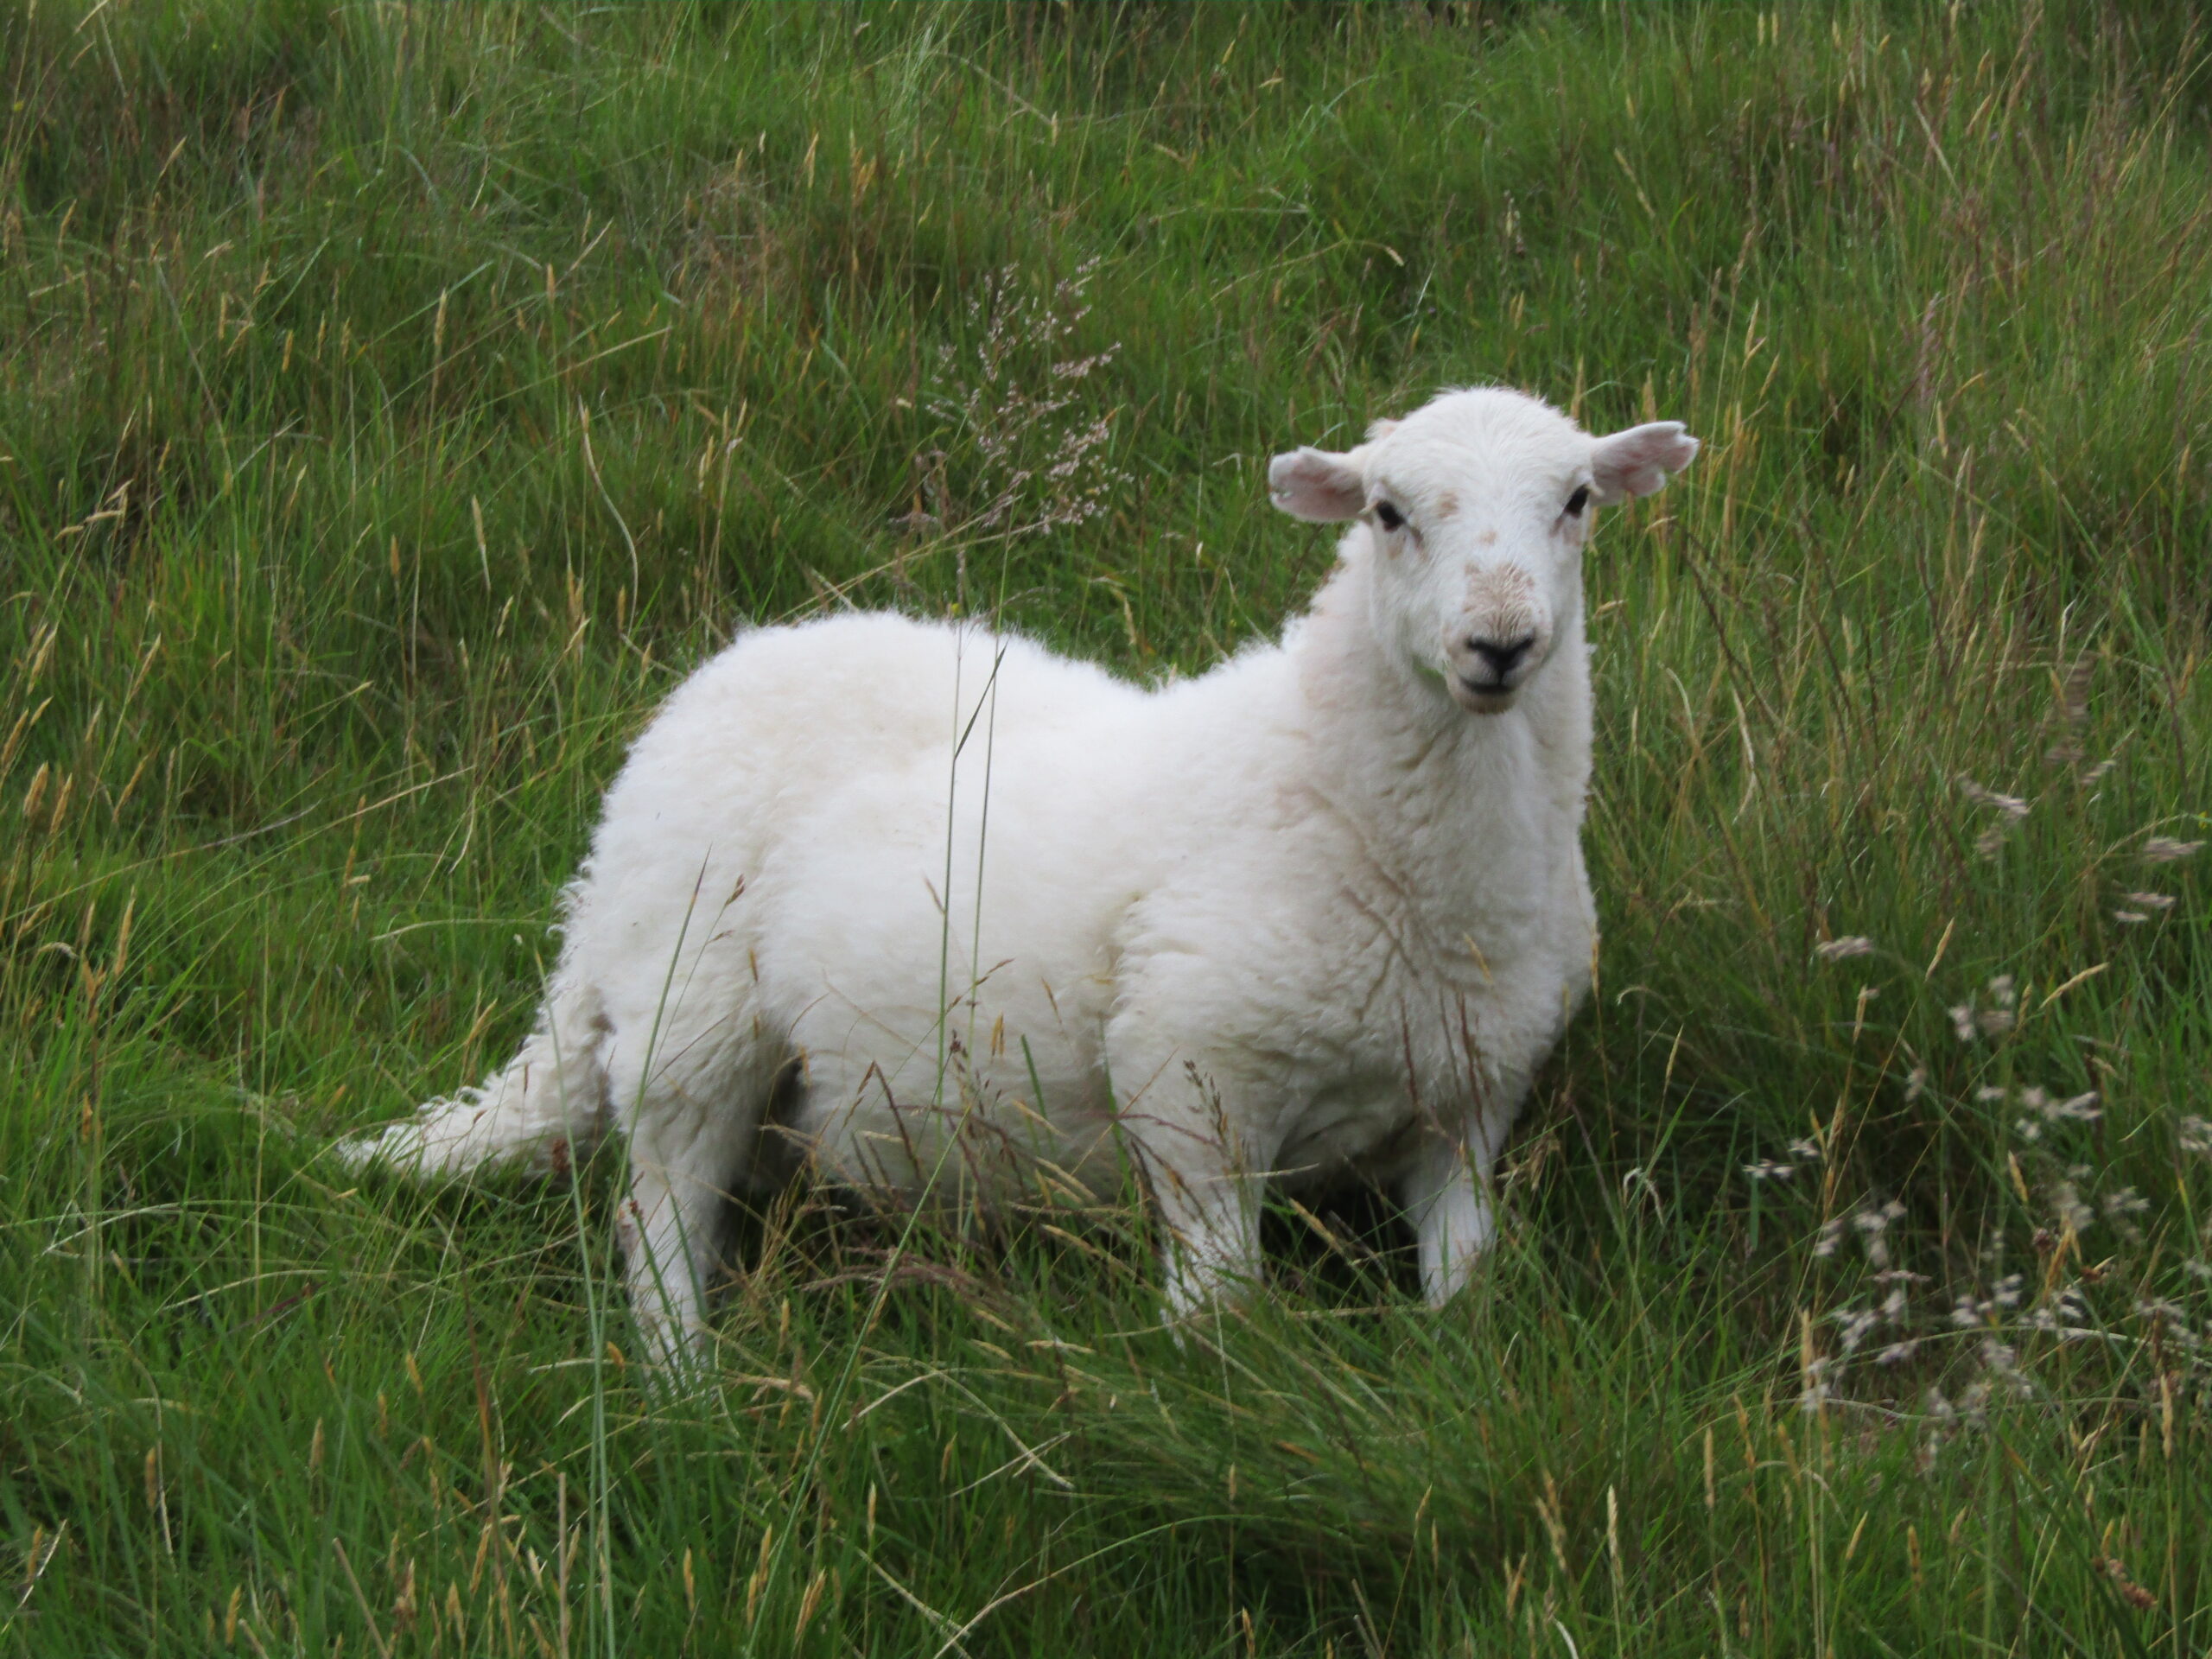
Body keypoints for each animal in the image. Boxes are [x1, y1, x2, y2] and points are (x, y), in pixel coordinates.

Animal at [340, 387, 1689, 1362]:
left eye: (1577, 501)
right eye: (1388, 513)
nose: (1500, 645)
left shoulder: (1467, 1105)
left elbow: (1465, 1281)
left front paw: (1464, 1367)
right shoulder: (1191, 1072)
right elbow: (1219, 1302)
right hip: (691, 1003)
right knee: (660, 1215)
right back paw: (685, 1386)